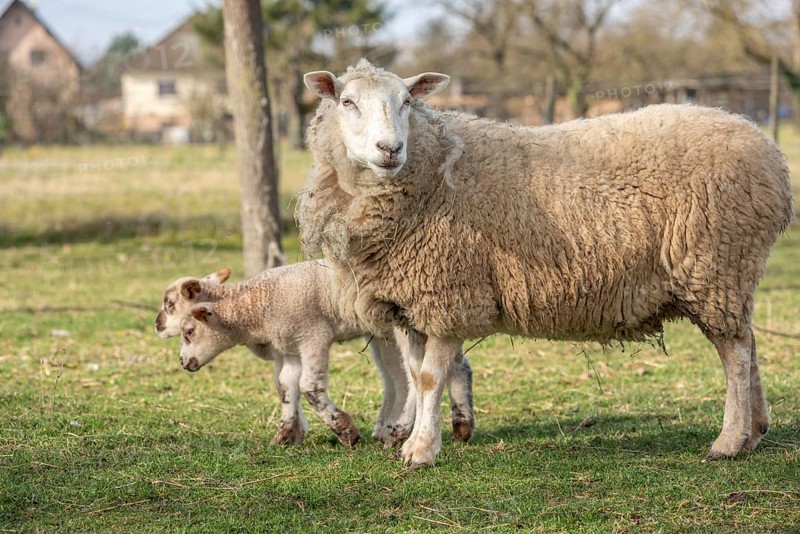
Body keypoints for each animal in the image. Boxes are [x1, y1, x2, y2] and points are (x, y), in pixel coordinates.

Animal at [157, 261, 475, 447]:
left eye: (189, 331)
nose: (183, 362)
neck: (255, 306)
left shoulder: (313, 336)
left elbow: (309, 386)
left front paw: (345, 431)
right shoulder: (288, 347)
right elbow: (286, 387)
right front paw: (286, 434)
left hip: (407, 328)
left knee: (416, 377)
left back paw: (400, 431)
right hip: (387, 335)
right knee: (434, 371)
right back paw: (458, 425)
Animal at [297, 59, 794, 467]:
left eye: (406, 102)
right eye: (347, 102)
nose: (390, 149)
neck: (430, 170)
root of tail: (770, 155)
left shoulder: (450, 294)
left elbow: (430, 378)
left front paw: (421, 451)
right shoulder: (409, 303)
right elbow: (417, 376)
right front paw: (418, 437)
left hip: (715, 263)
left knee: (735, 354)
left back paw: (729, 441)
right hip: (729, 271)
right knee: (748, 344)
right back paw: (755, 431)